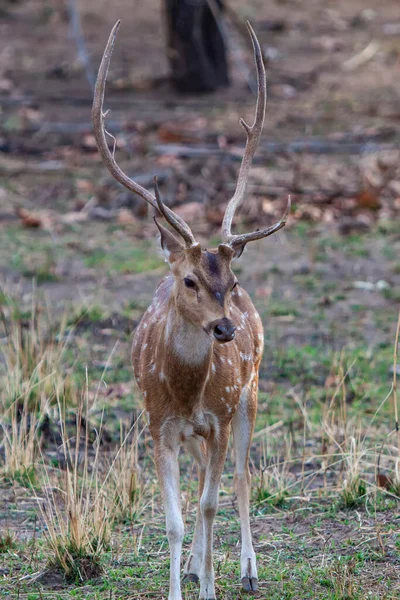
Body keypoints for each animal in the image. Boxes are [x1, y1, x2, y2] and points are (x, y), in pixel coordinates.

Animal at [92, 18, 290, 600]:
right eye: (188, 279)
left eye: (232, 280)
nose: (225, 328)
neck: (183, 389)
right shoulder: (158, 425)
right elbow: (176, 519)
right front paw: (186, 581)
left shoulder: (218, 417)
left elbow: (209, 503)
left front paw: (211, 587)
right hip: (198, 428)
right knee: (210, 476)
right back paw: (203, 564)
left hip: (249, 391)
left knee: (241, 476)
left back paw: (245, 569)